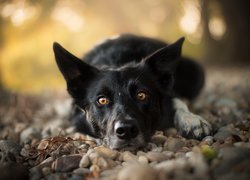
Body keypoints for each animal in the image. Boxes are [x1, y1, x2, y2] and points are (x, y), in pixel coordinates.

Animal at [52, 33, 211, 149]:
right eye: (102, 100)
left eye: (142, 95)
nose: (126, 130)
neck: (117, 61)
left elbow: (177, 100)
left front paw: (192, 120)